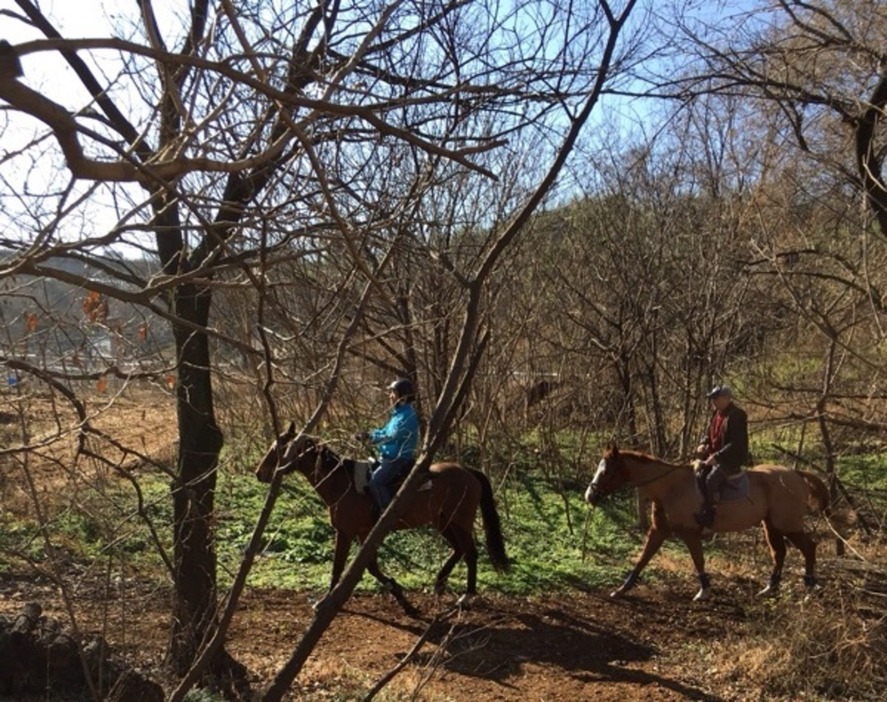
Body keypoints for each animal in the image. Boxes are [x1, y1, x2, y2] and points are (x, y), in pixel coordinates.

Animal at [253, 424, 510, 616]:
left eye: (279, 447)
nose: (259, 473)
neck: (344, 485)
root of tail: (468, 471)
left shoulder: (350, 532)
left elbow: (342, 567)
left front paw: (325, 602)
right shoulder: (360, 533)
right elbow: (370, 567)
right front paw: (400, 595)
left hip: (460, 520)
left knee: (470, 553)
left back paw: (466, 597)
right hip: (442, 521)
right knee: (458, 549)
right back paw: (439, 583)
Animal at [588, 446, 828, 600]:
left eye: (606, 471)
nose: (589, 496)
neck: (669, 487)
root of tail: (795, 473)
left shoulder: (690, 533)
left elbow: (698, 560)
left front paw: (704, 590)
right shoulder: (658, 531)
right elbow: (642, 559)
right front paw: (622, 589)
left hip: (788, 525)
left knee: (809, 548)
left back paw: (810, 586)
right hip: (771, 525)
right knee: (779, 553)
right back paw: (770, 588)